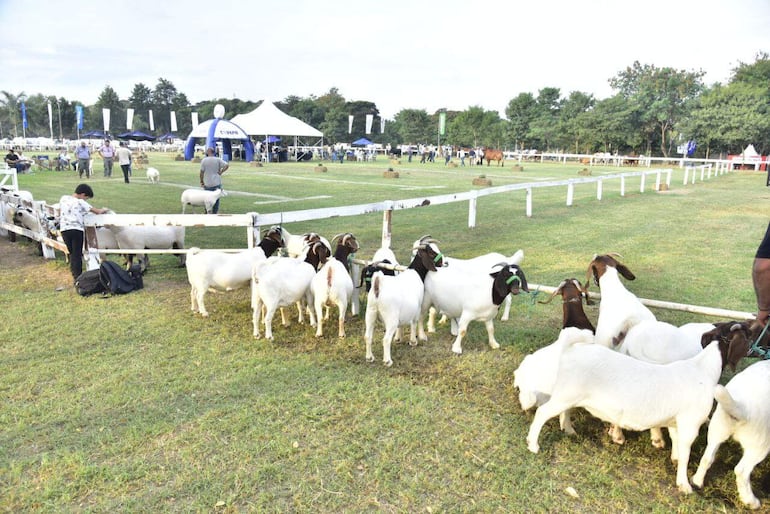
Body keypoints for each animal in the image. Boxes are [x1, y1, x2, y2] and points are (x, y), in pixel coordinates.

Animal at [366, 234, 444, 366]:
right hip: (390, 317)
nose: (444, 262)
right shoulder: (417, 307)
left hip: (370, 313)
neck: (415, 272)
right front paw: (413, 341)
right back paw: (387, 361)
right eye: (432, 252)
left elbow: (401, 325)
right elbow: (414, 322)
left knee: (367, 336)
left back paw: (369, 357)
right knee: (386, 339)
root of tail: (378, 285)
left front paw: (398, 338)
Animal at [524, 340, 728, 492]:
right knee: (543, 412)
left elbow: (676, 441)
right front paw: (685, 485)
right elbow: (686, 452)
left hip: (569, 393)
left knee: (564, 411)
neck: (702, 370)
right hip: (568, 393)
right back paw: (533, 445)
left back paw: (568, 429)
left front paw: (674, 458)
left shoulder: (677, 421)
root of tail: (572, 350)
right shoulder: (690, 422)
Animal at [688, 358, 768, 506]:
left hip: (717, 430)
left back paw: (697, 482)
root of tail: (744, 407)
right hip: (759, 446)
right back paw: (751, 502)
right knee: (741, 471)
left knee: (707, 458)